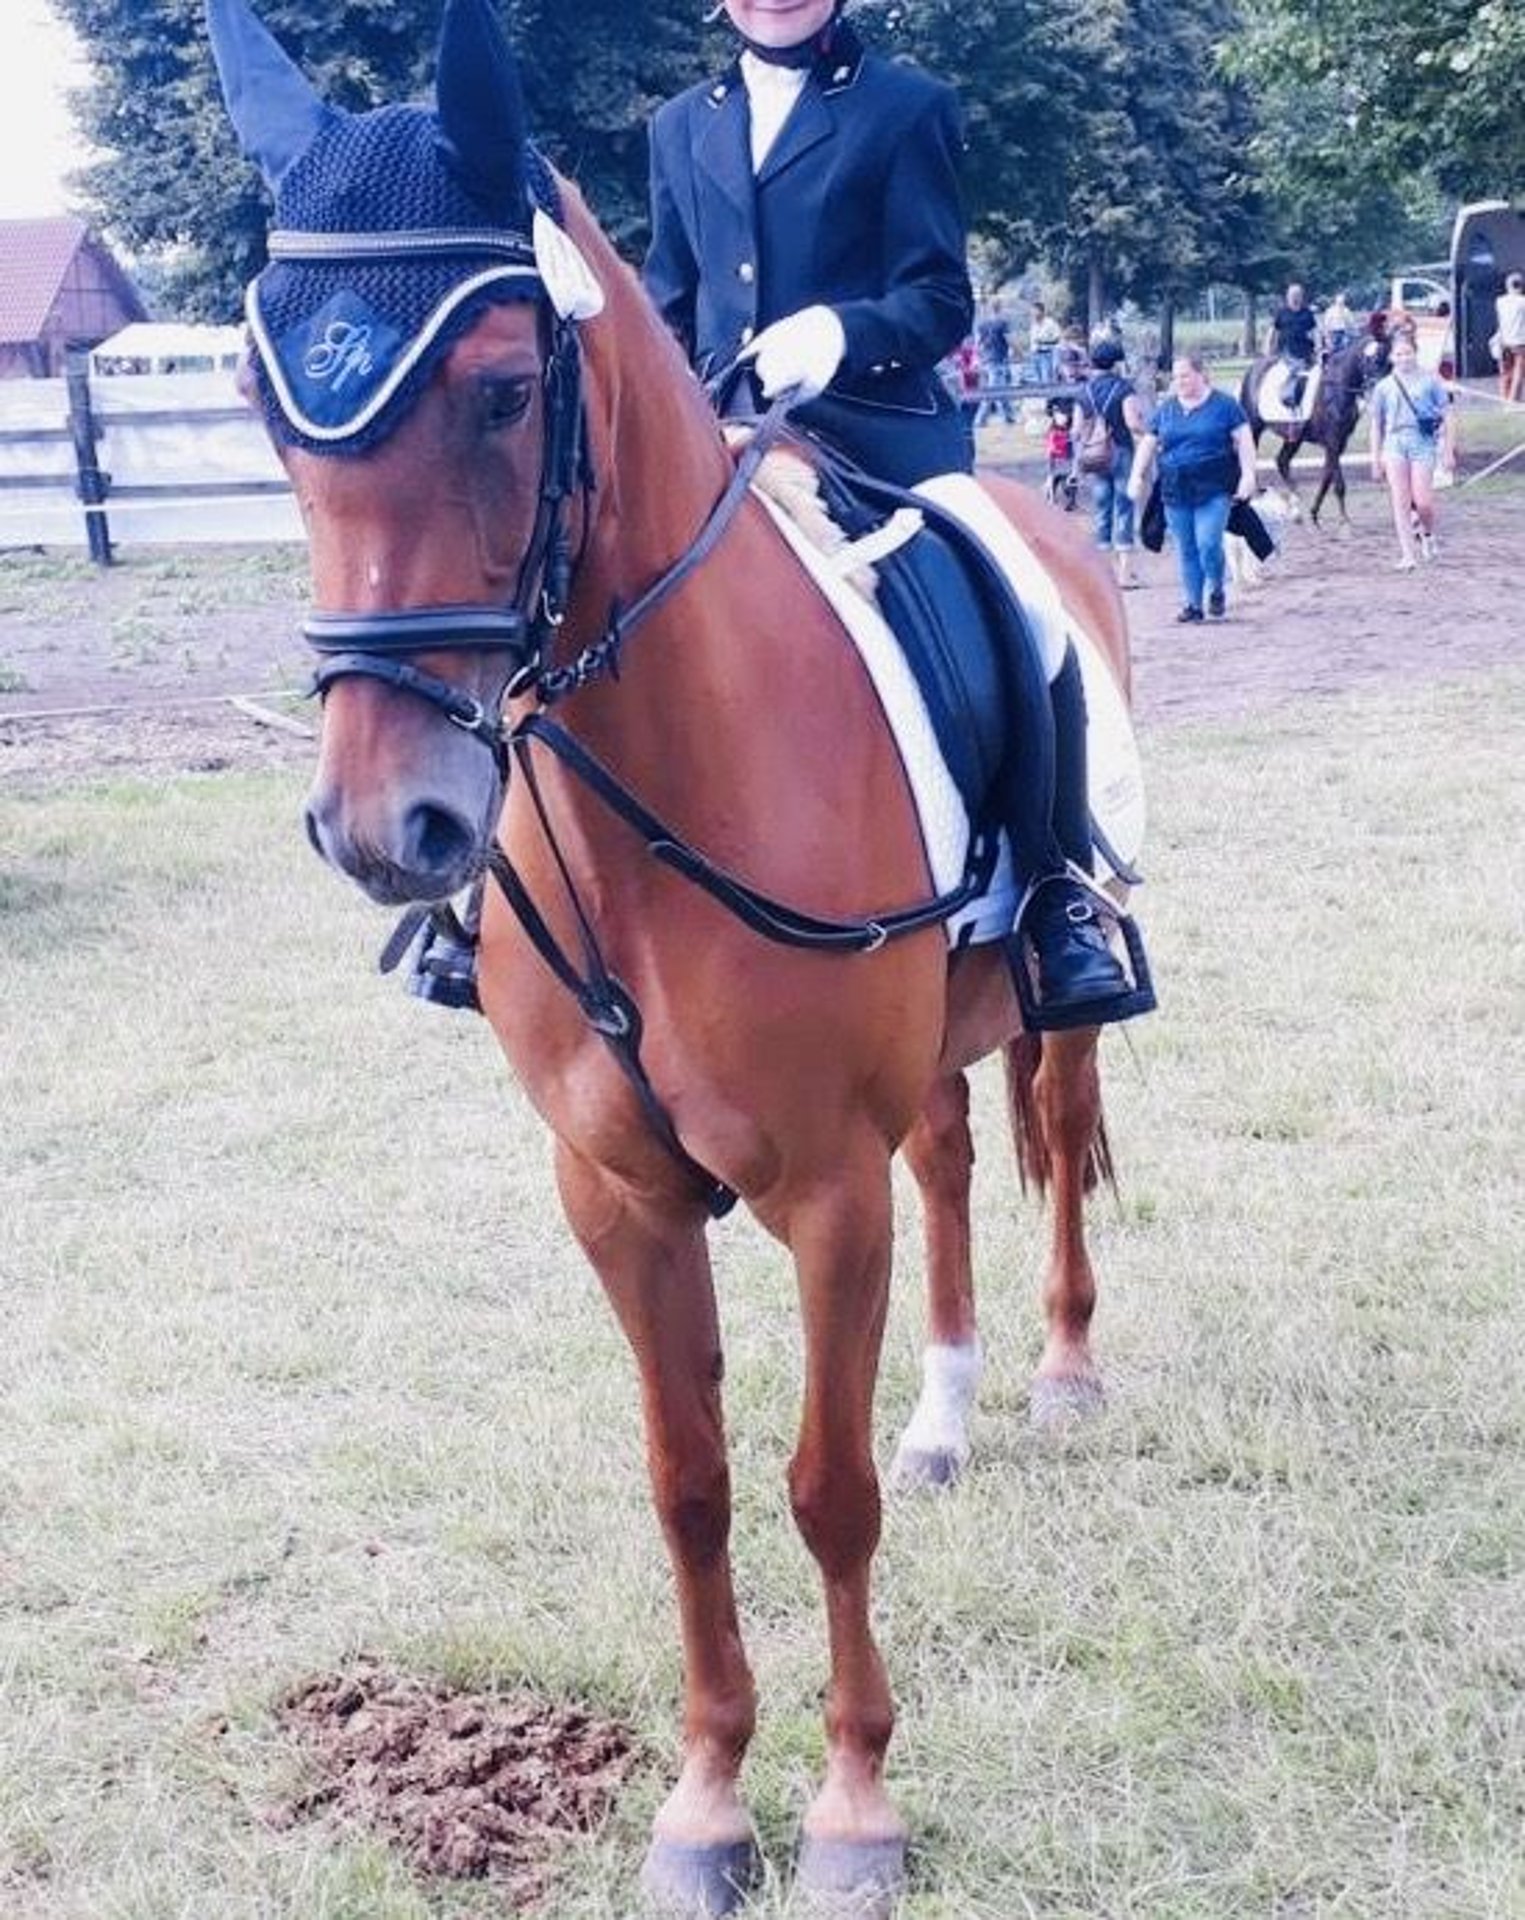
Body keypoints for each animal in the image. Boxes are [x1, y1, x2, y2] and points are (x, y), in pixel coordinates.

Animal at [201, 0, 1129, 1896]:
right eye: (269, 408)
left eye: (500, 388)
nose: (385, 829)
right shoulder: (616, 1194)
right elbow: (689, 1484)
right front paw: (705, 1802)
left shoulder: (821, 1191)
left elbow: (820, 1490)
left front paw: (852, 1811)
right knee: (950, 1164)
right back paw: (949, 1409)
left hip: (1043, 1003)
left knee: (1058, 1127)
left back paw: (1060, 1375)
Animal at [1244, 341, 1382, 526]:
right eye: (1372, 359)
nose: (1378, 387)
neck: (1335, 387)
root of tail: (1253, 369)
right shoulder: (1333, 441)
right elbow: (1338, 482)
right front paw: (1344, 520)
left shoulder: (1339, 443)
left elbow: (1327, 477)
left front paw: (1314, 513)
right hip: (1253, 429)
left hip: (1294, 437)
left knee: (1282, 461)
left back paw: (1296, 509)